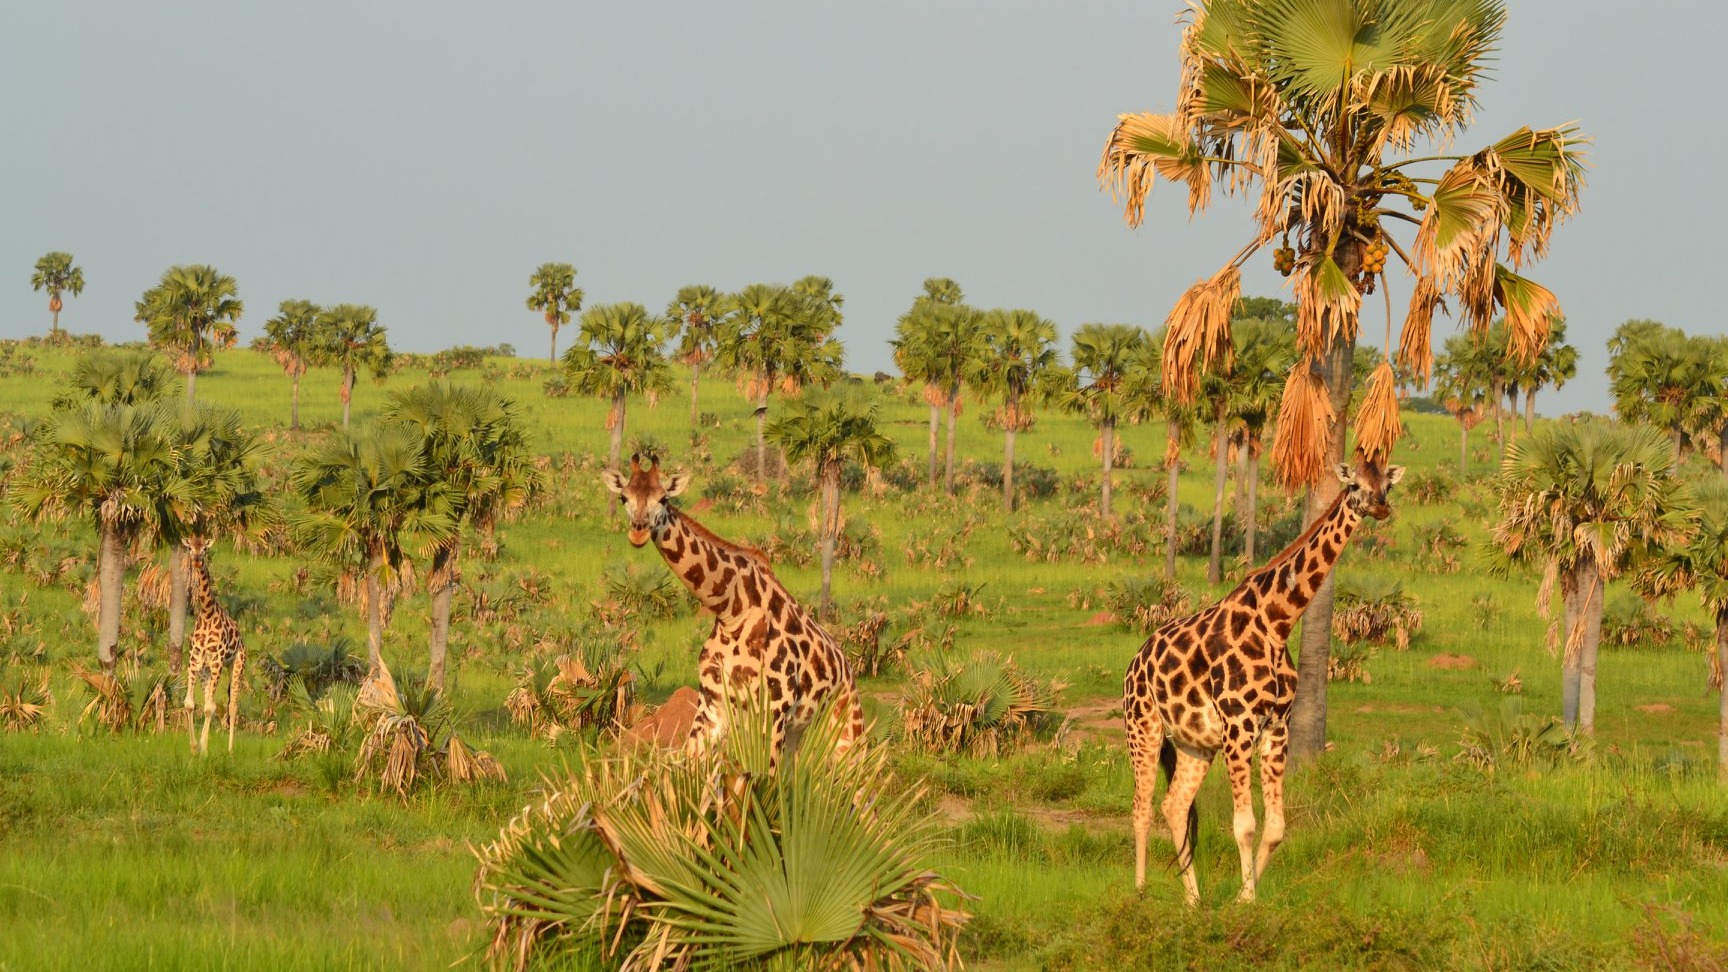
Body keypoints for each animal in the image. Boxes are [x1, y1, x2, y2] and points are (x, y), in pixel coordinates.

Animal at [182, 536, 247, 755]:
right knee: (208, 700)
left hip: (236, 665)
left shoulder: (218, 660)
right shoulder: (195, 660)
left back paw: (230, 750)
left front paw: (203, 748)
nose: (196, 560)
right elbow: (191, 704)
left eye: (205, 549)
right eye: (190, 548)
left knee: (232, 705)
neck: (207, 613)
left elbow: (210, 707)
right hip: (207, 671)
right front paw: (195, 747)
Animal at [602, 455, 864, 755]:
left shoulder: (773, 710)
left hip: (845, 729)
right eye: (624, 497)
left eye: (664, 498)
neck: (732, 611)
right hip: (796, 733)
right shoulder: (711, 706)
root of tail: (848, 669)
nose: (639, 532)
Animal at [1124, 457, 1402, 903]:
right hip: (1143, 727)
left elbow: (1275, 829)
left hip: (1195, 744)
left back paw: (1193, 900)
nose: (1379, 506)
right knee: (1141, 806)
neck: (1279, 622)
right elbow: (1245, 826)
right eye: (1355, 484)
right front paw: (1248, 899)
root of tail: (1135, 662)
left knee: (1174, 805)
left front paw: (1243, 894)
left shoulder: (1276, 727)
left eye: (1386, 485)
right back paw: (1140, 891)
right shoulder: (1239, 725)